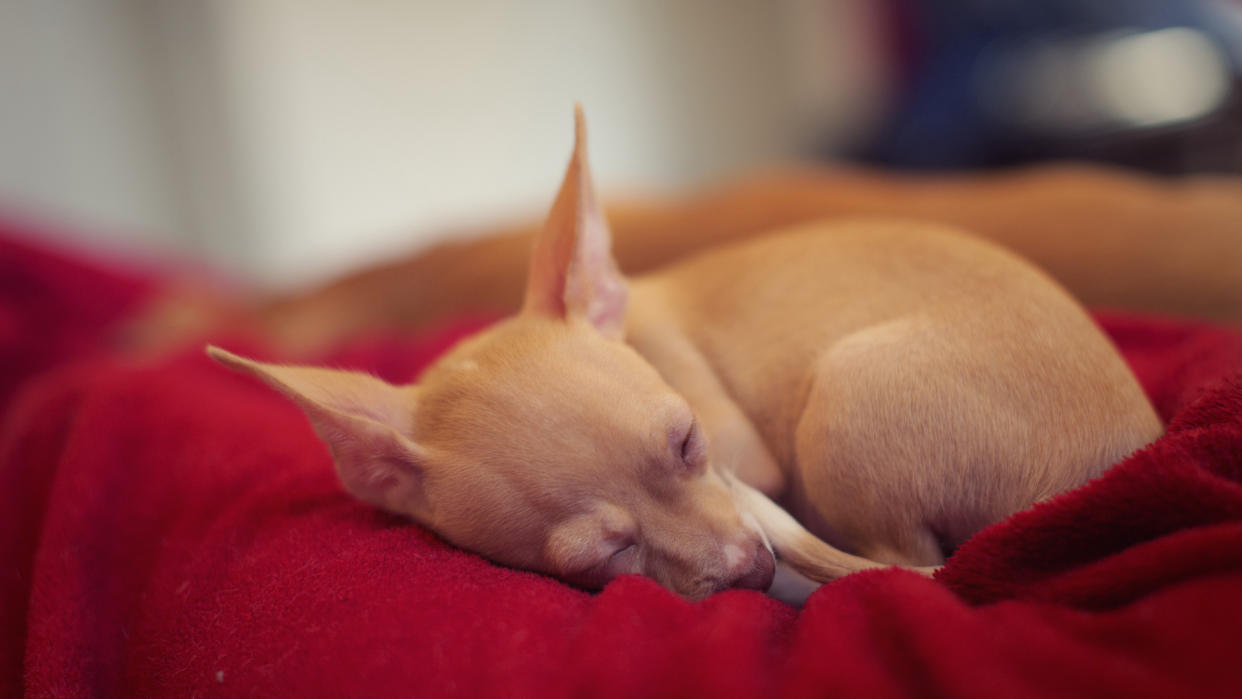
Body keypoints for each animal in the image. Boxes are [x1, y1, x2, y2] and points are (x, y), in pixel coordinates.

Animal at [206, 109, 1162, 600]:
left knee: (897, 562)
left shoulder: (755, 465)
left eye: (689, 441)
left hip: (844, 396)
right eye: (601, 559)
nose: (749, 569)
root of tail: (1116, 463)